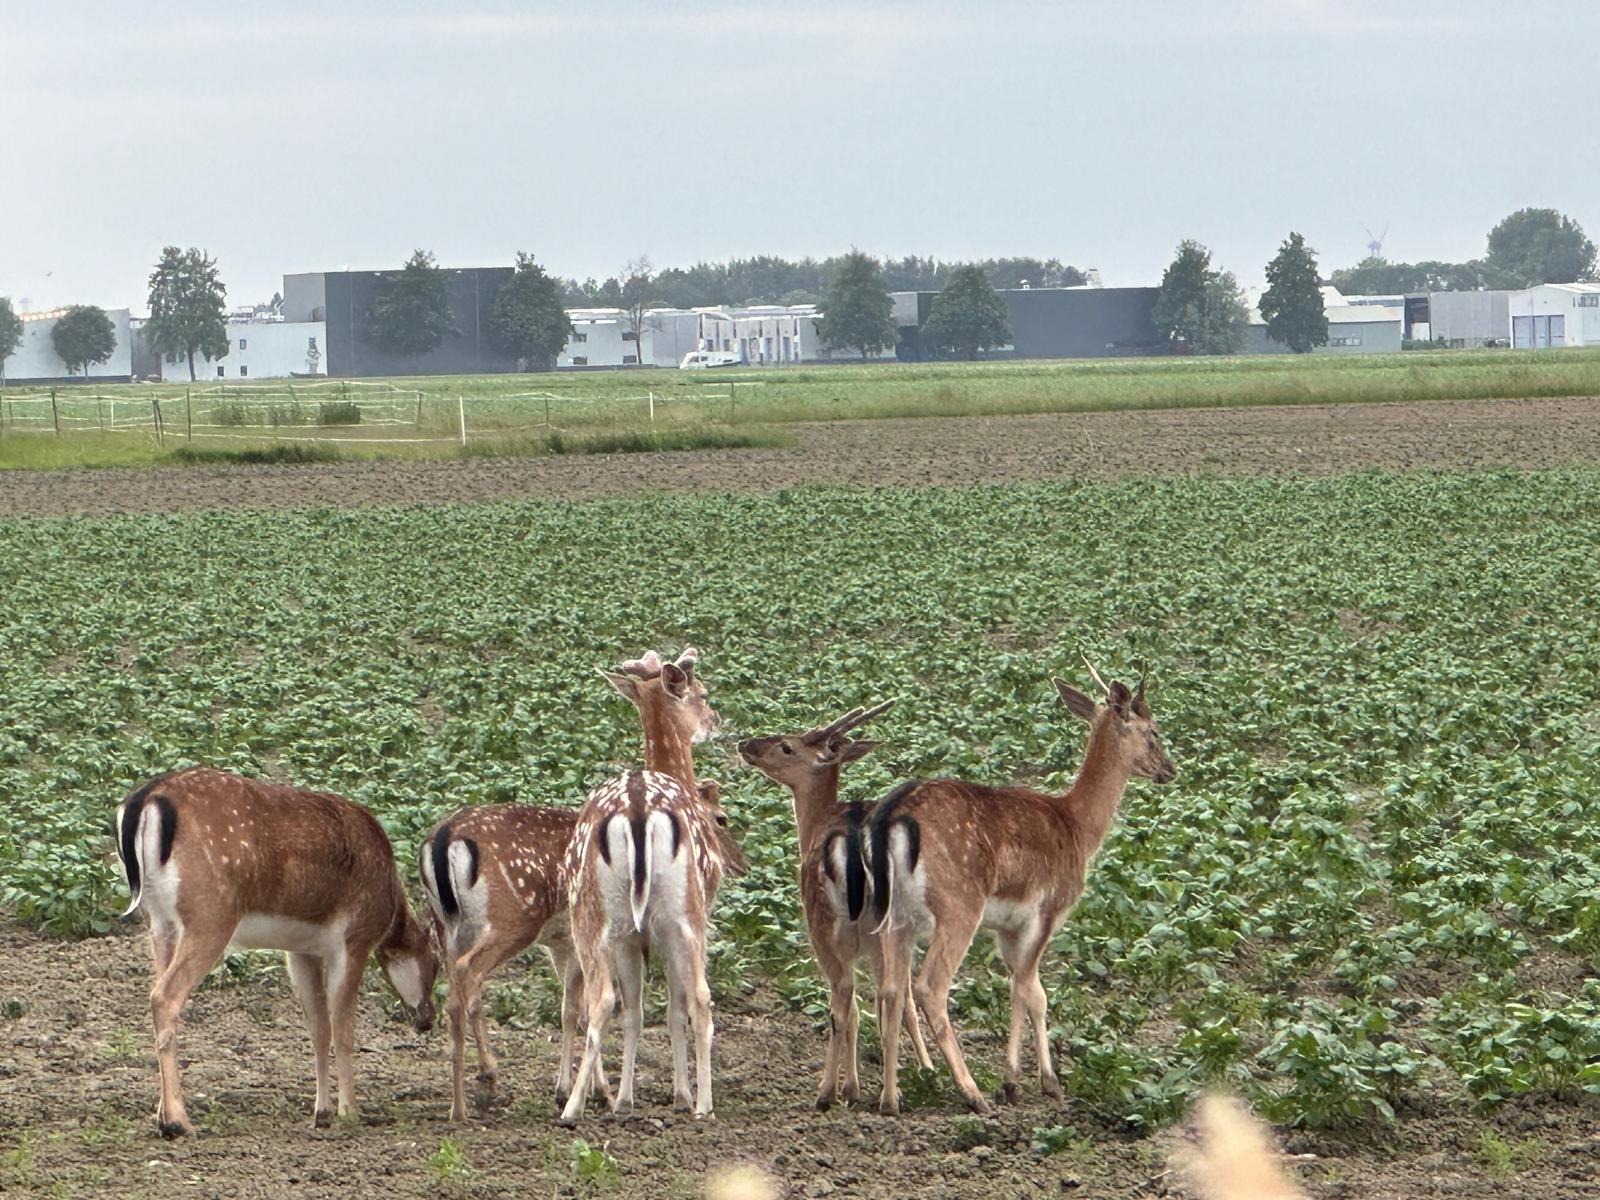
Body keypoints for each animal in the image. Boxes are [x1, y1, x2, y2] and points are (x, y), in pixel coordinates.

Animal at [110, 771, 438, 1139]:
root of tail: (144, 802)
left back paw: (162, 1116)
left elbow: (319, 1029)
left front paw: (322, 1112)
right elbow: (343, 1030)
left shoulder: (300, 950)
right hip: (211, 915)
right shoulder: (353, 939)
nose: (427, 1017)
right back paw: (177, 1122)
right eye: (435, 962)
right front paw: (349, 1112)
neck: (389, 907)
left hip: (158, 921)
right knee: (164, 995)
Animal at [553, 649, 723, 1126]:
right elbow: (673, 1009)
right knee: (697, 999)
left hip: (606, 917)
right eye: (703, 693)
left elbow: (638, 1012)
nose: (716, 721)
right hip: (682, 912)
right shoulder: (661, 932)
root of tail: (639, 809)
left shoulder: (634, 935)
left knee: (607, 1001)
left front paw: (627, 1100)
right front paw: (681, 1095)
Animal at [736, 700, 934, 1113]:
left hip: (825, 924)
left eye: (787, 746)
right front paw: (861, 1087)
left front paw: (847, 1089)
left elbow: (848, 1007)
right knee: (894, 995)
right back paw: (893, 1096)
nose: (746, 743)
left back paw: (825, 1092)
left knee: (843, 996)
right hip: (892, 926)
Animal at [864, 668, 1177, 1120]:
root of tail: (890, 822)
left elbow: (1024, 987)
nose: (1169, 769)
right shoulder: (1047, 909)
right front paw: (1032, 1083)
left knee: (890, 988)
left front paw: (1026, 1082)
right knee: (929, 988)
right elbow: (1032, 991)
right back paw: (971, 1092)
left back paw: (891, 1099)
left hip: (892, 913)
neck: (1079, 829)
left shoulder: (1006, 927)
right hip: (960, 904)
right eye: (1153, 730)